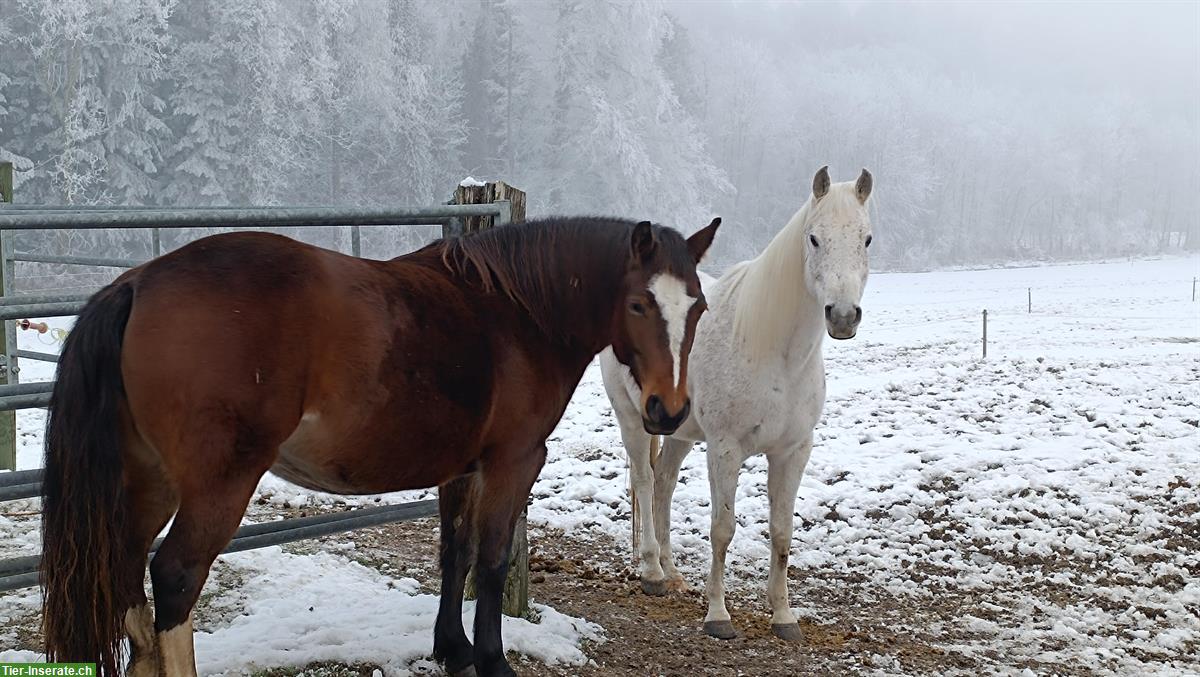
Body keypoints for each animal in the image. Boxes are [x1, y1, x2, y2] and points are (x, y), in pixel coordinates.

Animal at [39, 213, 720, 672]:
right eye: (638, 304)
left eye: (699, 308)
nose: (668, 410)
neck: (518, 313)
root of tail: (137, 284)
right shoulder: (512, 463)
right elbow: (492, 561)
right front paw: (493, 660)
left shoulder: (460, 469)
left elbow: (455, 553)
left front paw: (453, 649)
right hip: (217, 485)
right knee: (175, 577)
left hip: (147, 481)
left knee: (129, 579)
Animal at [600, 165, 873, 638]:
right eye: (814, 238)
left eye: (867, 239)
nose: (842, 316)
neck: (773, 350)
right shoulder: (725, 449)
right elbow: (722, 528)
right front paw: (718, 615)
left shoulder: (793, 452)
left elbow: (781, 532)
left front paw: (783, 616)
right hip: (632, 419)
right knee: (644, 481)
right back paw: (652, 572)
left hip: (678, 431)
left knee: (665, 483)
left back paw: (672, 573)